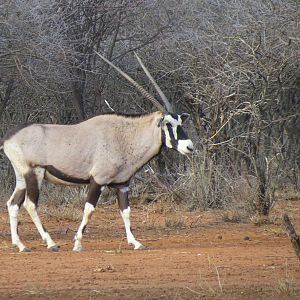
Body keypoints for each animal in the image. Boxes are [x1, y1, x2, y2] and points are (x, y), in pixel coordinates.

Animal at [0, 52, 195, 252]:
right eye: (168, 124)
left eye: (181, 122)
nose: (189, 146)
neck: (124, 136)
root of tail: (8, 138)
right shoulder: (98, 180)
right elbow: (89, 210)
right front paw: (78, 243)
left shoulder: (122, 184)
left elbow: (126, 212)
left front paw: (136, 242)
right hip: (34, 173)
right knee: (30, 204)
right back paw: (51, 243)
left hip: (22, 177)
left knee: (13, 204)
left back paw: (20, 245)